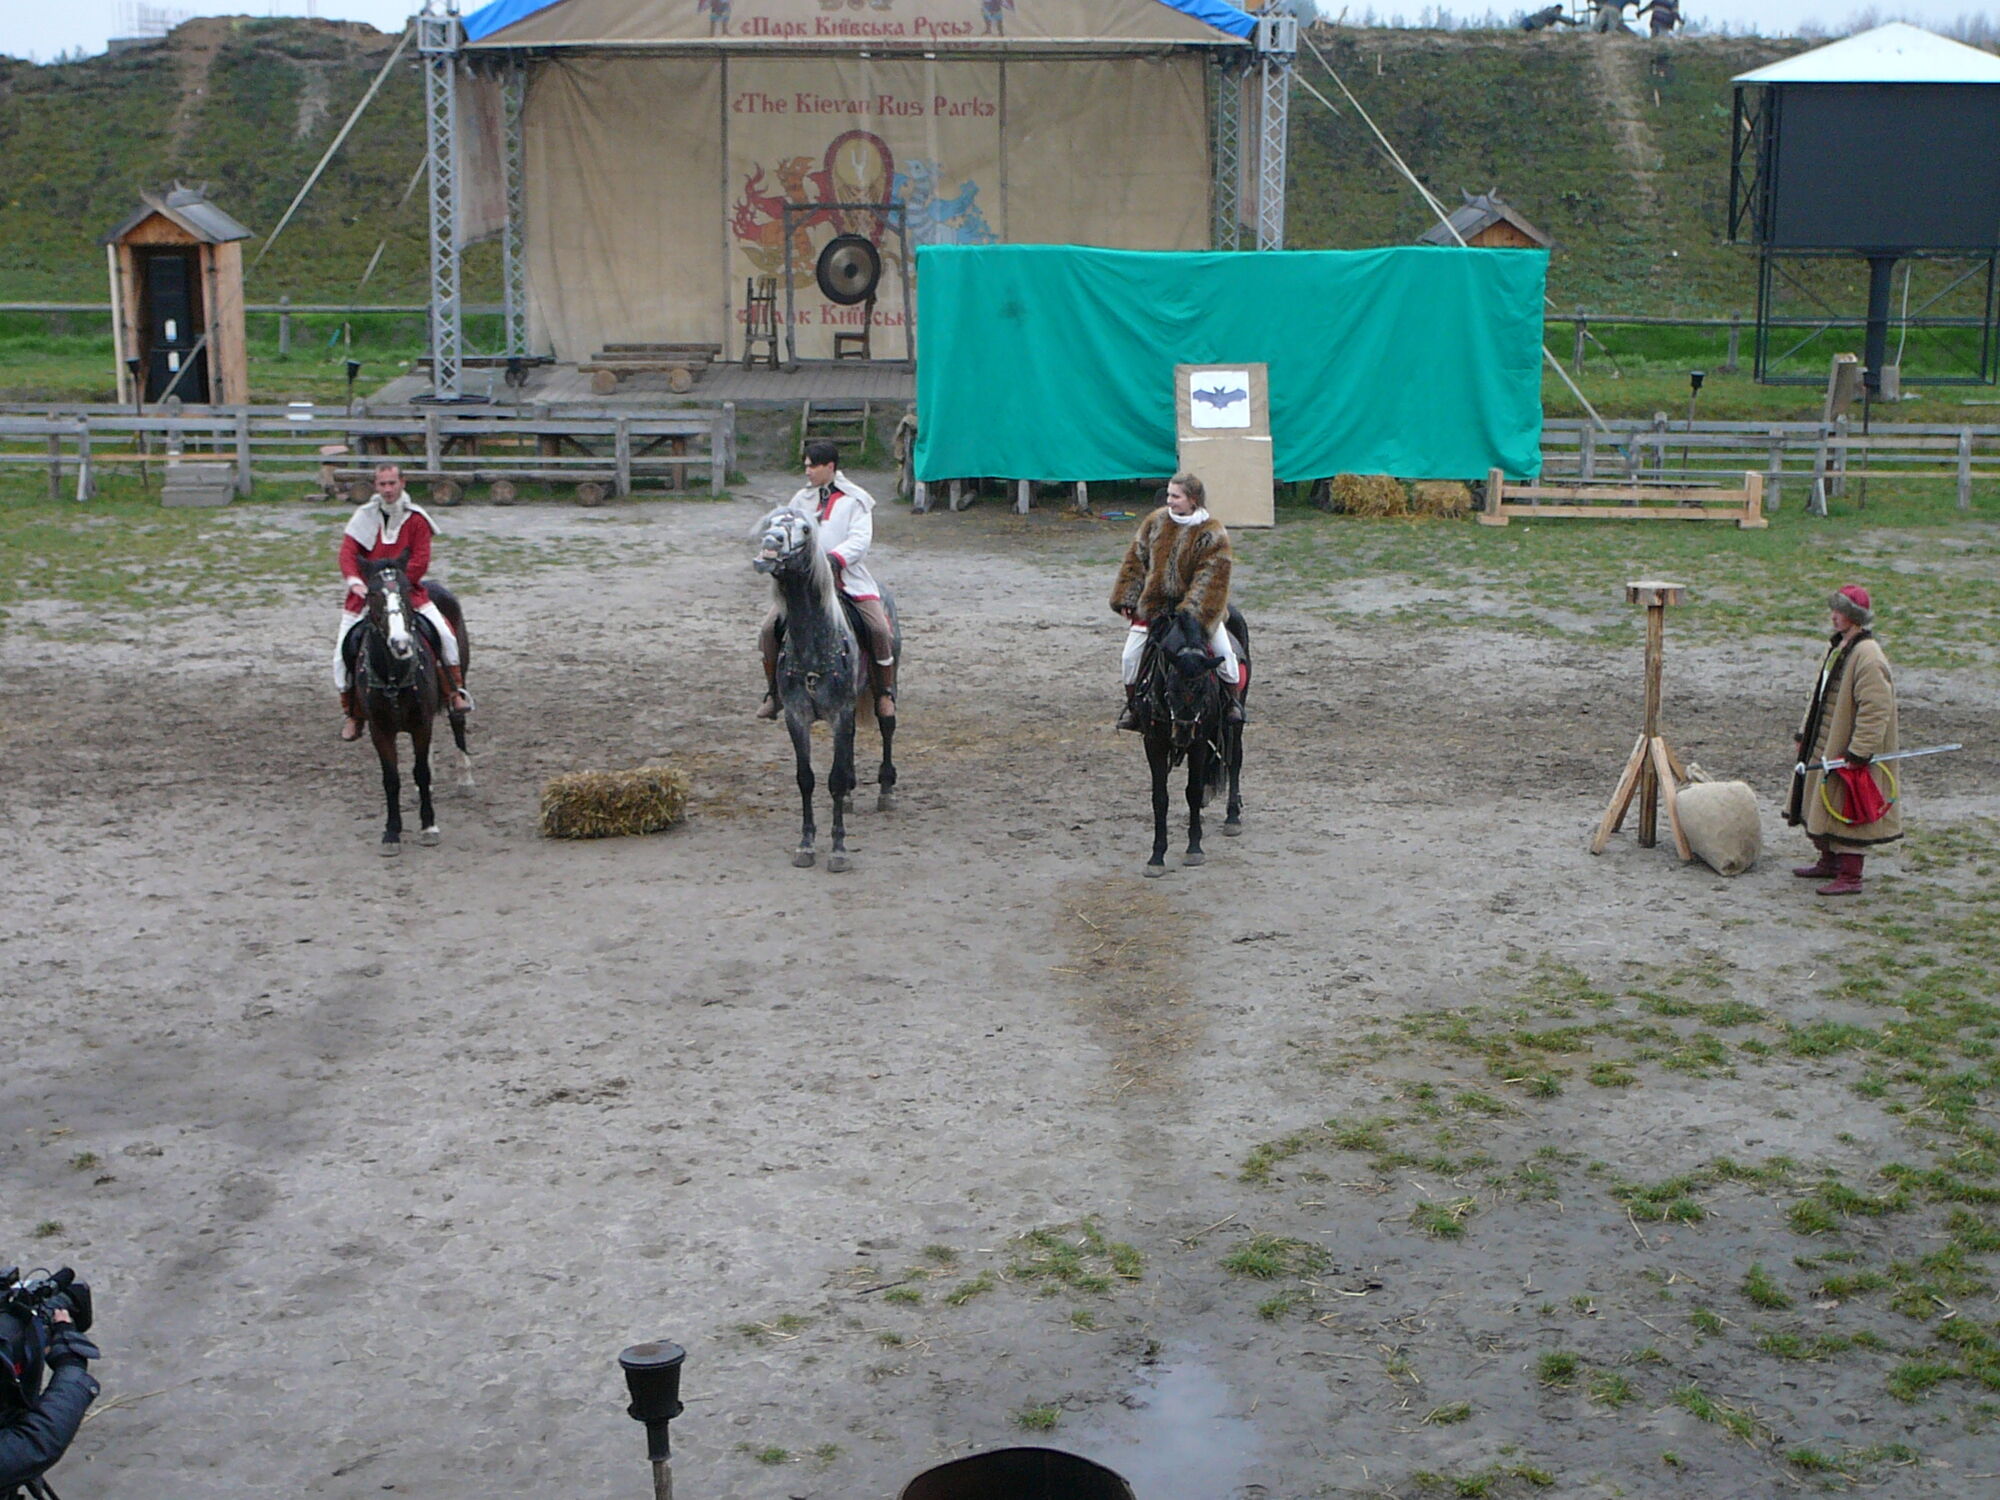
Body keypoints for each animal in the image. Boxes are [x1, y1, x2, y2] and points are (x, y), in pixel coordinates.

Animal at [350, 556, 474, 856]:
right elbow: (391, 778)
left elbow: (421, 772)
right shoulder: (380, 730)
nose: (400, 642)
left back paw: (465, 779)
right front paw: (391, 832)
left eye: (406, 592)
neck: (393, 673)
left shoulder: (421, 724)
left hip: (456, 686)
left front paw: (429, 827)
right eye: (372, 594)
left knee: (457, 725)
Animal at [752, 512, 904, 876]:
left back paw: (886, 791)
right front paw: (806, 844)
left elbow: (833, 779)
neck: (814, 642)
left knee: (887, 726)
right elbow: (806, 778)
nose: (771, 542)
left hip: (884, 686)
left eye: (805, 529)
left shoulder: (840, 713)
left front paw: (838, 850)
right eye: (772, 521)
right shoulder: (797, 716)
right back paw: (850, 795)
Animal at [1136, 604, 1240, 876]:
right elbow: (1160, 798)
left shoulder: (1199, 742)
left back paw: (1233, 817)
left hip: (1233, 726)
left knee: (1234, 762)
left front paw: (1194, 848)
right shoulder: (1154, 743)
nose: (1182, 734)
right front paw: (1156, 856)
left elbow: (1192, 791)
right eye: (1171, 687)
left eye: (1203, 690)